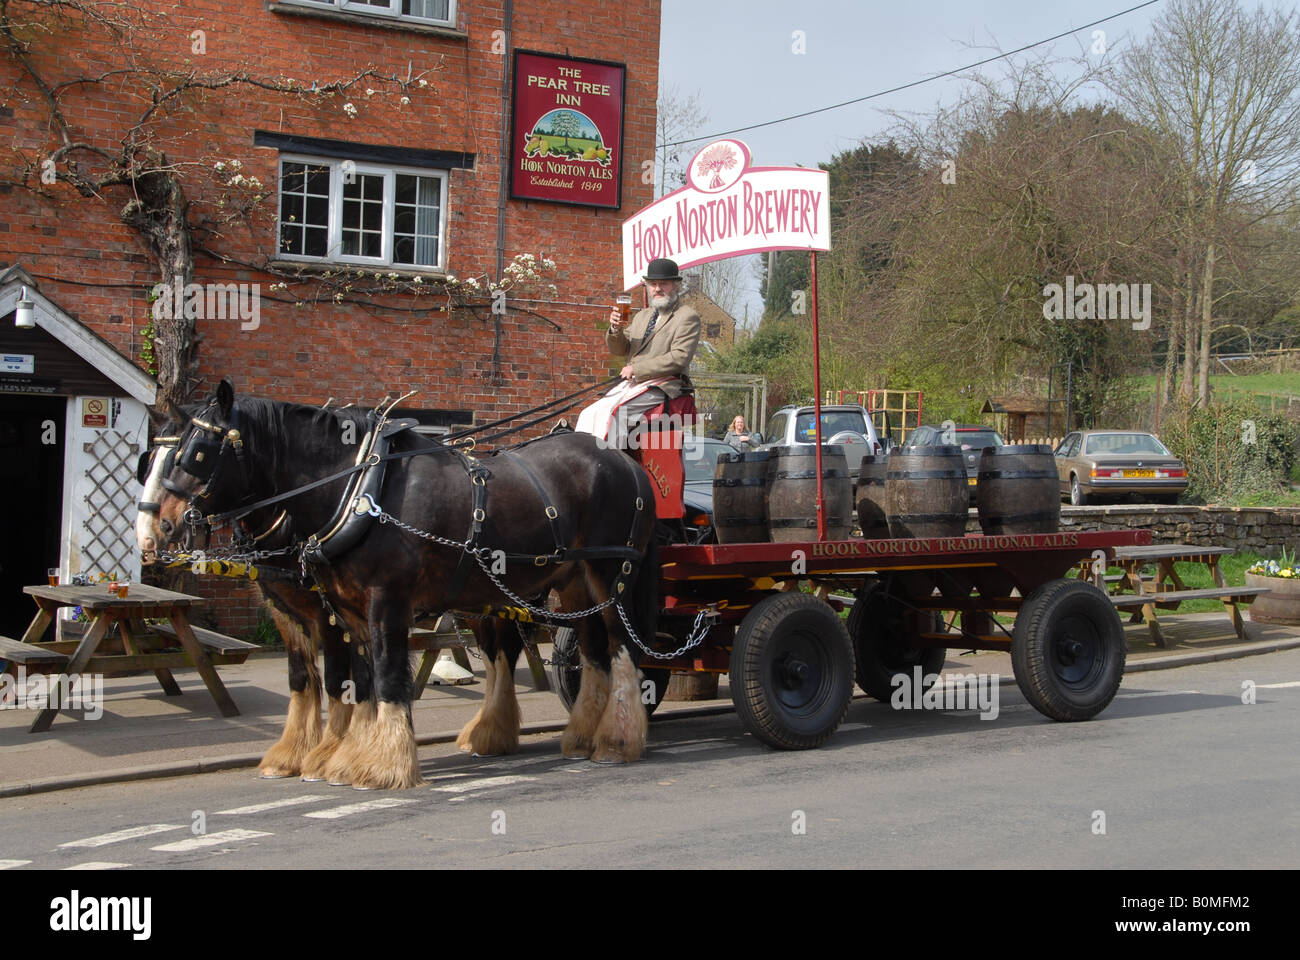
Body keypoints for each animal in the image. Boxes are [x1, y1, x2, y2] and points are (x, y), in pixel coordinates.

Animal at [139, 379, 660, 785]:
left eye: (197, 452)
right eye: (155, 455)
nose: (157, 528)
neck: (356, 489)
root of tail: (627, 463)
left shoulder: (379, 602)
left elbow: (378, 677)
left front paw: (380, 765)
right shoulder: (332, 608)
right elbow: (349, 680)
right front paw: (339, 757)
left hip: (611, 577)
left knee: (621, 649)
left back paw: (617, 740)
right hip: (569, 584)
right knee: (587, 652)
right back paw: (576, 735)